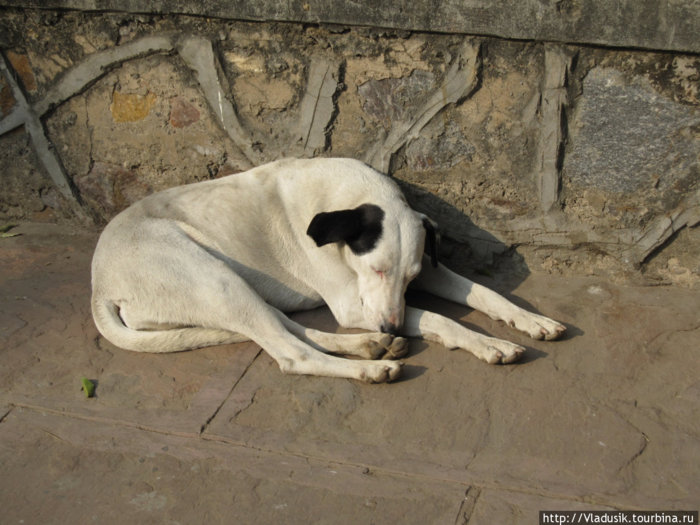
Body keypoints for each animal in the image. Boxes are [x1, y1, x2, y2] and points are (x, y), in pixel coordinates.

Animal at [91, 156, 564, 380]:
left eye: (410, 277)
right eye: (375, 269)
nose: (391, 326)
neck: (349, 195)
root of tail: (99, 287)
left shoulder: (427, 268)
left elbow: (486, 293)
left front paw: (531, 319)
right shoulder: (354, 305)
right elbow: (438, 318)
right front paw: (488, 343)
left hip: (239, 290)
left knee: (293, 329)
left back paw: (370, 346)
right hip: (215, 281)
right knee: (292, 353)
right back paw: (372, 365)